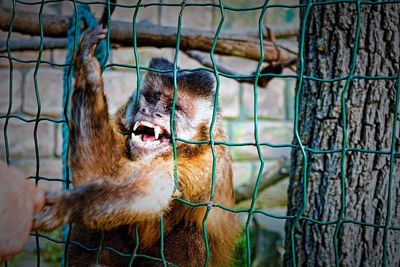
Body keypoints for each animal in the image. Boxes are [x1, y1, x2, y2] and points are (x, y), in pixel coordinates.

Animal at [32, 10, 239, 267]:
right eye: (151, 98)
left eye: (171, 108)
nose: (151, 111)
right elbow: (99, 176)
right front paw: (88, 67)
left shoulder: (201, 166)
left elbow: (142, 192)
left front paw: (66, 206)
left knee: (190, 237)